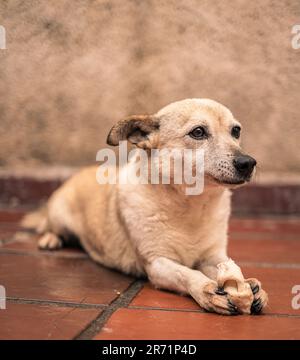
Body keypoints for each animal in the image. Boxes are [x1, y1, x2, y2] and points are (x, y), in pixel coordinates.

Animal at [24, 98, 268, 316]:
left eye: (236, 131)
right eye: (198, 132)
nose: (248, 163)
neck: (191, 205)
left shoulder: (213, 257)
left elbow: (230, 269)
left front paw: (249, 285)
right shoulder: (157, 263)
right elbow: (187, 273)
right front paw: (206, 290)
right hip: (59, 216)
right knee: (49, 226)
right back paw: (50, 239)